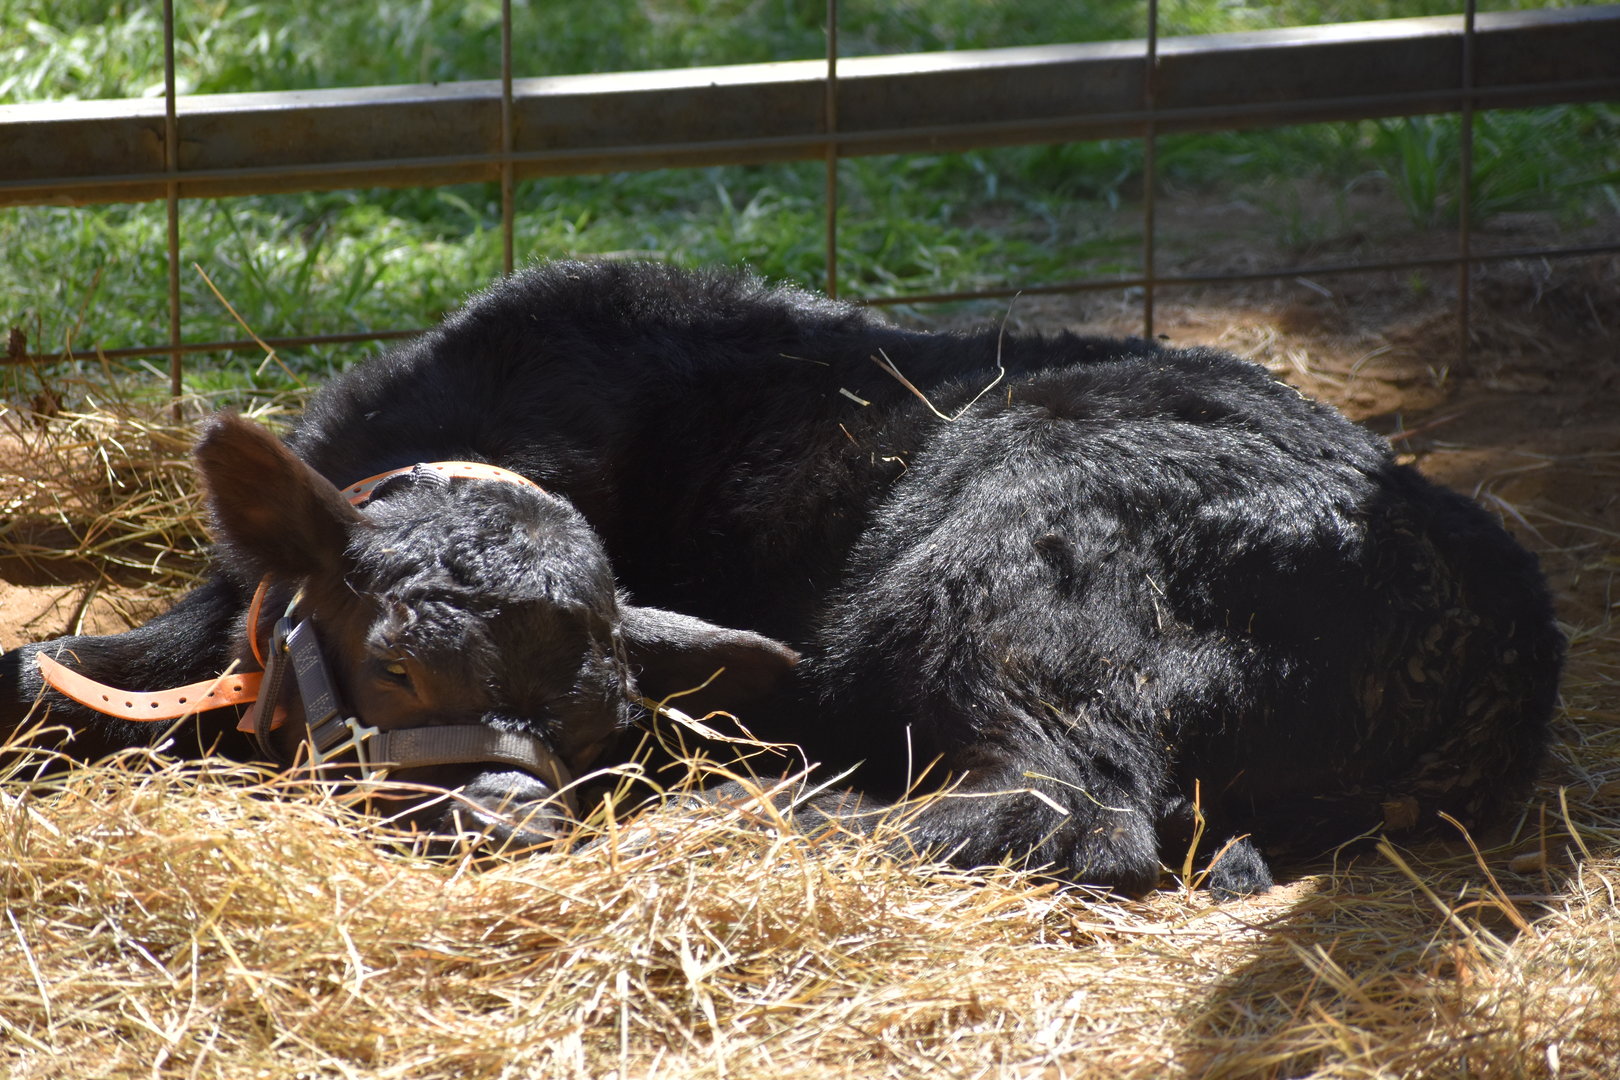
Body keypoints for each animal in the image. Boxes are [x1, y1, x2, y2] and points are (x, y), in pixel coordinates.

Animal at [0, 260, 1563, 896]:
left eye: (608, 725)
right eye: (390, 662)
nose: (503, 819)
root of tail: (1485, 573)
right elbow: (50, 671)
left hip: (1011, 585)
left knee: (1071, 807)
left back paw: (774, 816)